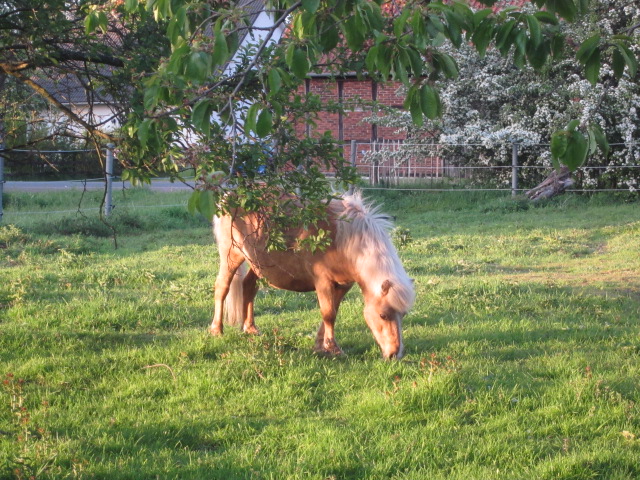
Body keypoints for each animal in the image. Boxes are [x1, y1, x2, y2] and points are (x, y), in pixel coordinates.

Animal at [210, 191, 416, 360]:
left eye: (403, 315)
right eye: (383, 315)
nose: (394, 354)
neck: (343, 237)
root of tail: (227, 196)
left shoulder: (344, 284)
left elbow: (332, 312)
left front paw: (320, 345)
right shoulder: (323, 281)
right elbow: (329, 314)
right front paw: (333, 349)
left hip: (258, 264)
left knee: (249, 288)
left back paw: (250, 328)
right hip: (232, 256)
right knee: (222, 288)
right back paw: (216, 330)